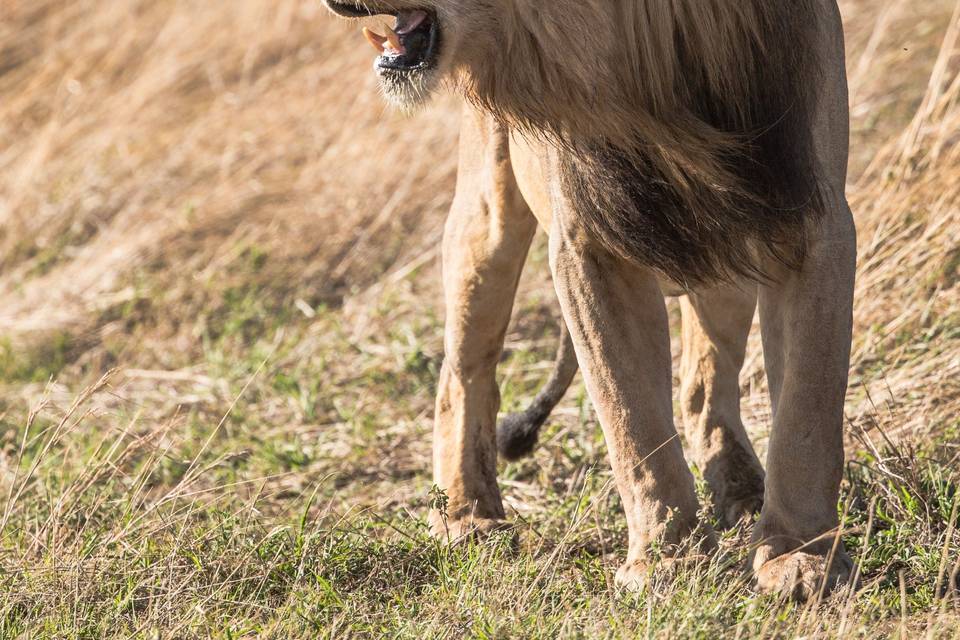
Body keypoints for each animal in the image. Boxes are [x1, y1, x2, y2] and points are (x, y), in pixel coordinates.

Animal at [328, 0, 856, 600]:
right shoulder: (589, 246)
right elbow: (632, 419)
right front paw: (666, 562)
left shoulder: (808, 217)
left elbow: (807, 412)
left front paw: (800, 555)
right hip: (486, 215)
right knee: (462, 372)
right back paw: (468, 517)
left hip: (725, 252)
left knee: (703, 385)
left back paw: (742, 492)